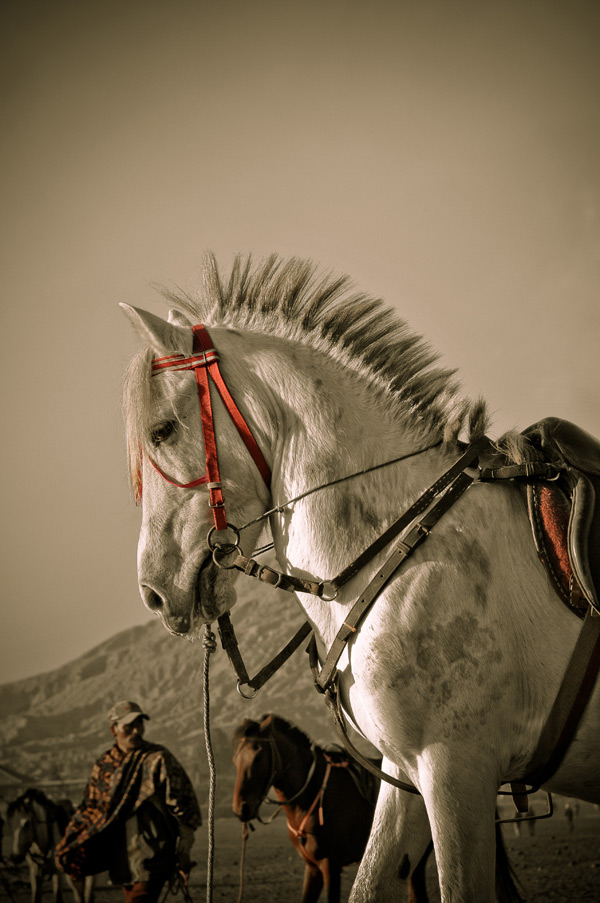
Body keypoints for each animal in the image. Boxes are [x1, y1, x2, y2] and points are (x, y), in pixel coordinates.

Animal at [230, 712, 432, 903]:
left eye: (258, 757)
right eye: (235, 758)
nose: (241, 809)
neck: (312, 794)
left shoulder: (330, 865)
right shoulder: (312, 868)